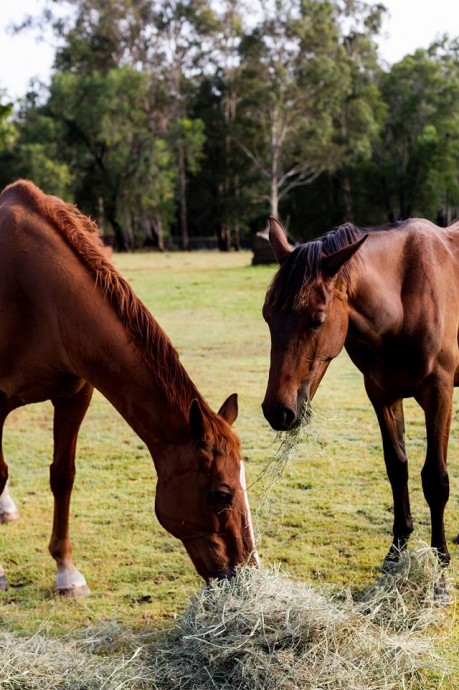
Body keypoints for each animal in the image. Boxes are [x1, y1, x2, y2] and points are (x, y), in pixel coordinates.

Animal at [0, 180, 258, 592]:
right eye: (222, 493)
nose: (246, 571)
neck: (37, 296)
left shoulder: (74, 396)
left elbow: (63, 475)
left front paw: (67, 572)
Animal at [262, 216, 459, 580]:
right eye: (268, 315)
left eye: (317, 319)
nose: (277, 411)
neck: (403, 302)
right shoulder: (382, 395)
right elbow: (397, 467)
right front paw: (396, 553)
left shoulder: (438, 394)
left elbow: (435, 479)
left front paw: (440, 566)